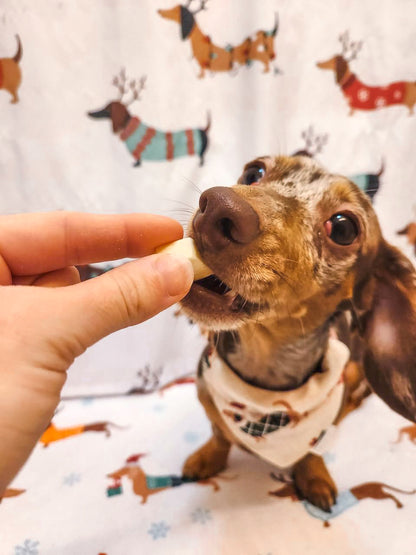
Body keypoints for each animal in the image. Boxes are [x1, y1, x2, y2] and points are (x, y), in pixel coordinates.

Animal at [180, 154, 416, 516]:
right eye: (254, 172)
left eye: (343, 228)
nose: (218, 206)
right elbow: (218, 432)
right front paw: (208, 456)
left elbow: (311, 450)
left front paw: (313, 475)